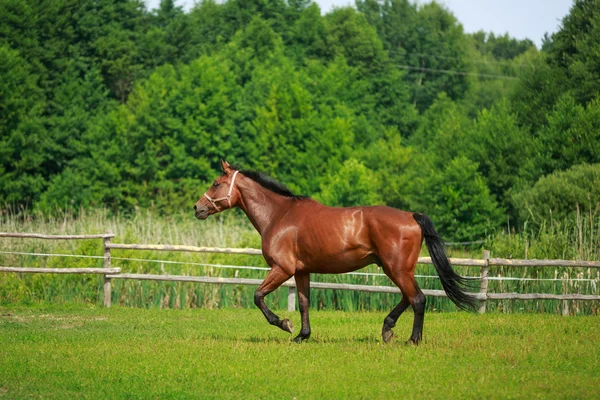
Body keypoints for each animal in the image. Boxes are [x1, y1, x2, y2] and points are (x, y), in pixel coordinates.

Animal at [195, 159, 476, 344]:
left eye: (216, 183)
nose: (197, 208)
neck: (279, 215)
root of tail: (411, 216)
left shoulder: (282, 268)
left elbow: (258, 296)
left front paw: (285, 325)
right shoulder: (301, 271)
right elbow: (304, 303)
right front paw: (302, 336)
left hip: (396, 268)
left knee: (417, 299)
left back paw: (412, 340)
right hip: (397, 269)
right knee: (409, 297)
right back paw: (387, 329)